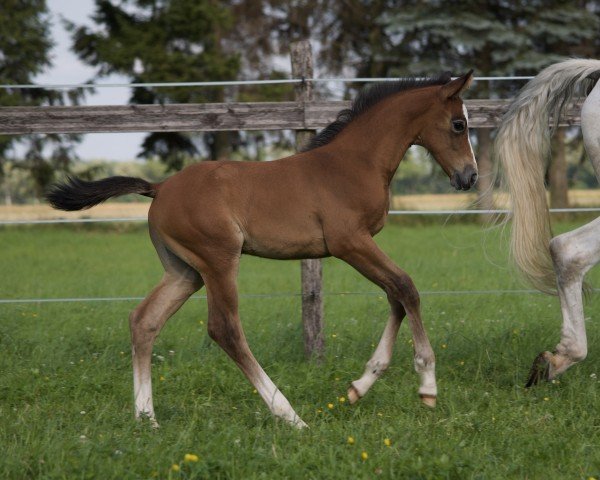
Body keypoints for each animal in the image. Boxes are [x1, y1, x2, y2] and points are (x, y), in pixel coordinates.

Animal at [47, 69, 478, 426]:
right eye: (458, 124)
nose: (469, 176)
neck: (355, 162)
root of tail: (160, 187)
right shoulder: (349, 242)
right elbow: (406, 287)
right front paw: (427, 385)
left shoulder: (360, 246)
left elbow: (395, 296)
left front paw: (361, 385)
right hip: (218, 260)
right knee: (224, 329)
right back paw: (289, 415)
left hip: (185, 271)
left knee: (144, 321)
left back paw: (147, 419)